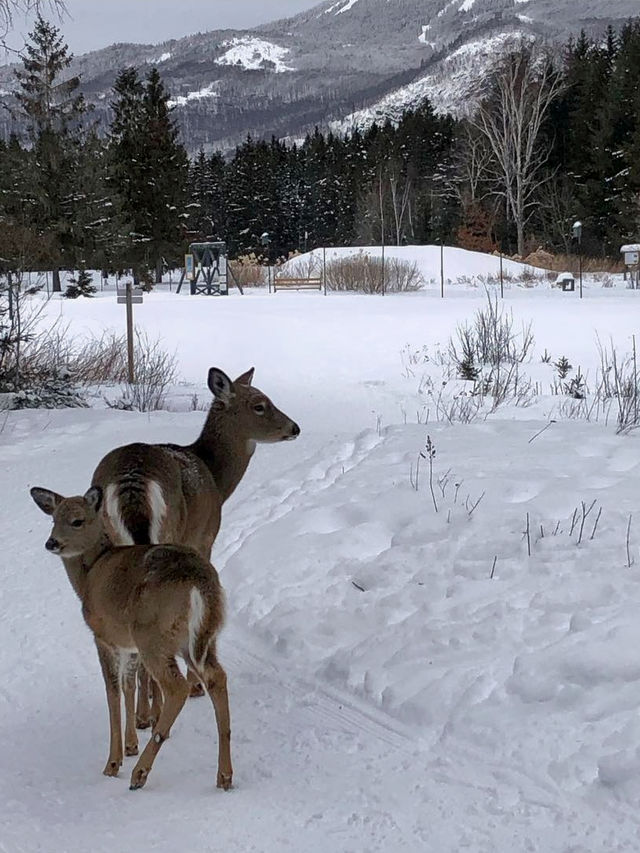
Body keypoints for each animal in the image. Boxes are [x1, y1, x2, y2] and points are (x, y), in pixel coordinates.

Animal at [30, 486, 231, 792]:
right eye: (54, 519)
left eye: (77, 520)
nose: (51, 543)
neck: (89, 574)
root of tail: (198, 583)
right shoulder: (129, 644)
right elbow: (128, 685)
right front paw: (130, 744)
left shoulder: (103, 635)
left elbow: (112, 690)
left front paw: (114, 762)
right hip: (201, 637)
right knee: (217, 677)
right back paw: (224, 775)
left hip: (152, 634)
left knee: (177, 687)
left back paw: (140, 774)